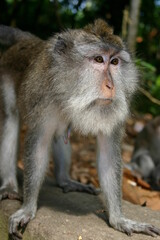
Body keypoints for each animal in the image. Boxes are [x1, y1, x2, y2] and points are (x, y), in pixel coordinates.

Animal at [0, 20, 159, 238]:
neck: (70, 92)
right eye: (99, 59)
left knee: (60, 134)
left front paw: (118, 219)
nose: (111, 86)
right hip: (6, 74)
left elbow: (108, 155)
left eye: (115, 62)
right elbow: (39, 146)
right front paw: (27, 209)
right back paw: (9, 186)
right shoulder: (43, 101)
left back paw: (64, 180)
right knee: (10, 118)